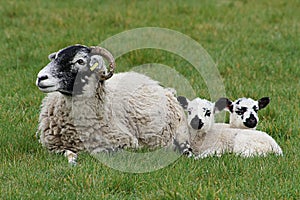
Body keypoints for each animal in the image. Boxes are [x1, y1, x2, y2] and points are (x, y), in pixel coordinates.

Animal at [35, 44, 190, 165]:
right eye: (55, 57)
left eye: (80, 61)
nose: (41, 77)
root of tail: (163, 88)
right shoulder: (53, 146)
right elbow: (67, 152)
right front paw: (72, 160)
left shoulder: (126, 141)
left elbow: (100, 151)